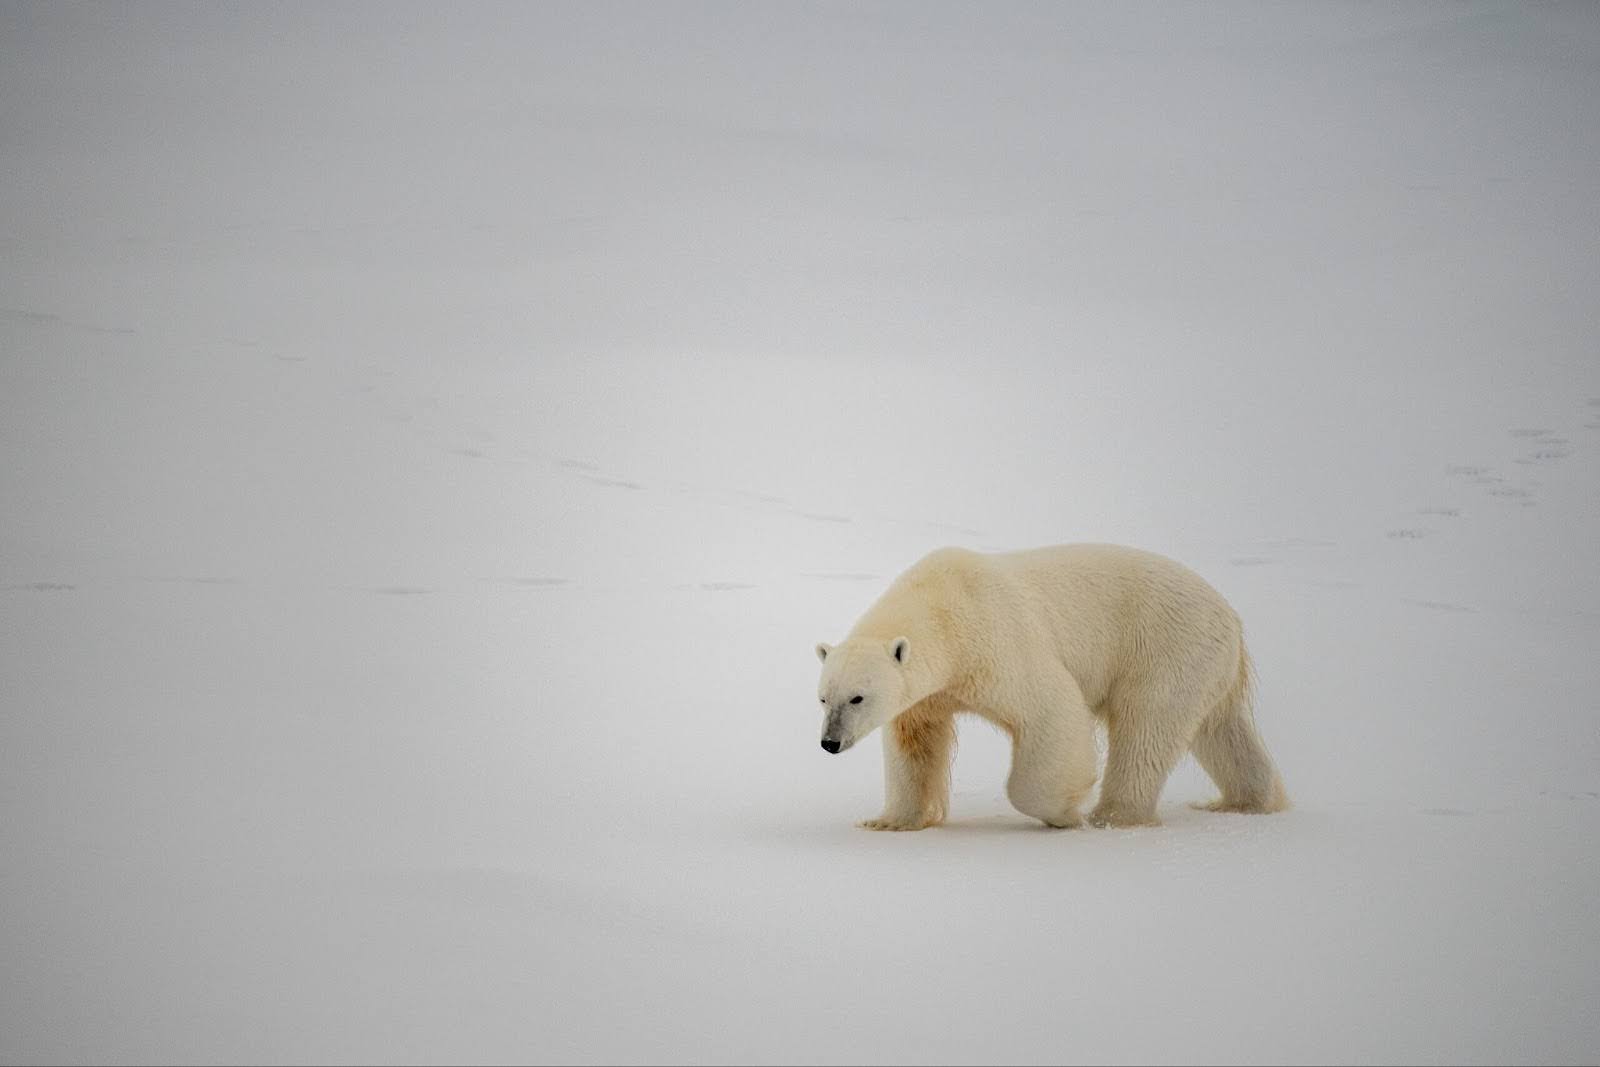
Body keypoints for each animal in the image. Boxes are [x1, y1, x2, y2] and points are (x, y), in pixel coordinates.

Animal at [813, 544, 1288, 831]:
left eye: (857, 697)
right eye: (822, 698)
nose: (829, 743)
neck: (942, 606)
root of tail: (1228, 614)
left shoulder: (995, 641)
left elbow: (1051, 709)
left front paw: (1063, 809)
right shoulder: (932, 693)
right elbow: (914, 744)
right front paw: (890, 821)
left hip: (1165, 647)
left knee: (1145, 730)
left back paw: (1111, 815)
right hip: (1206, 665)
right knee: (1221, 730)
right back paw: (1247, 801)